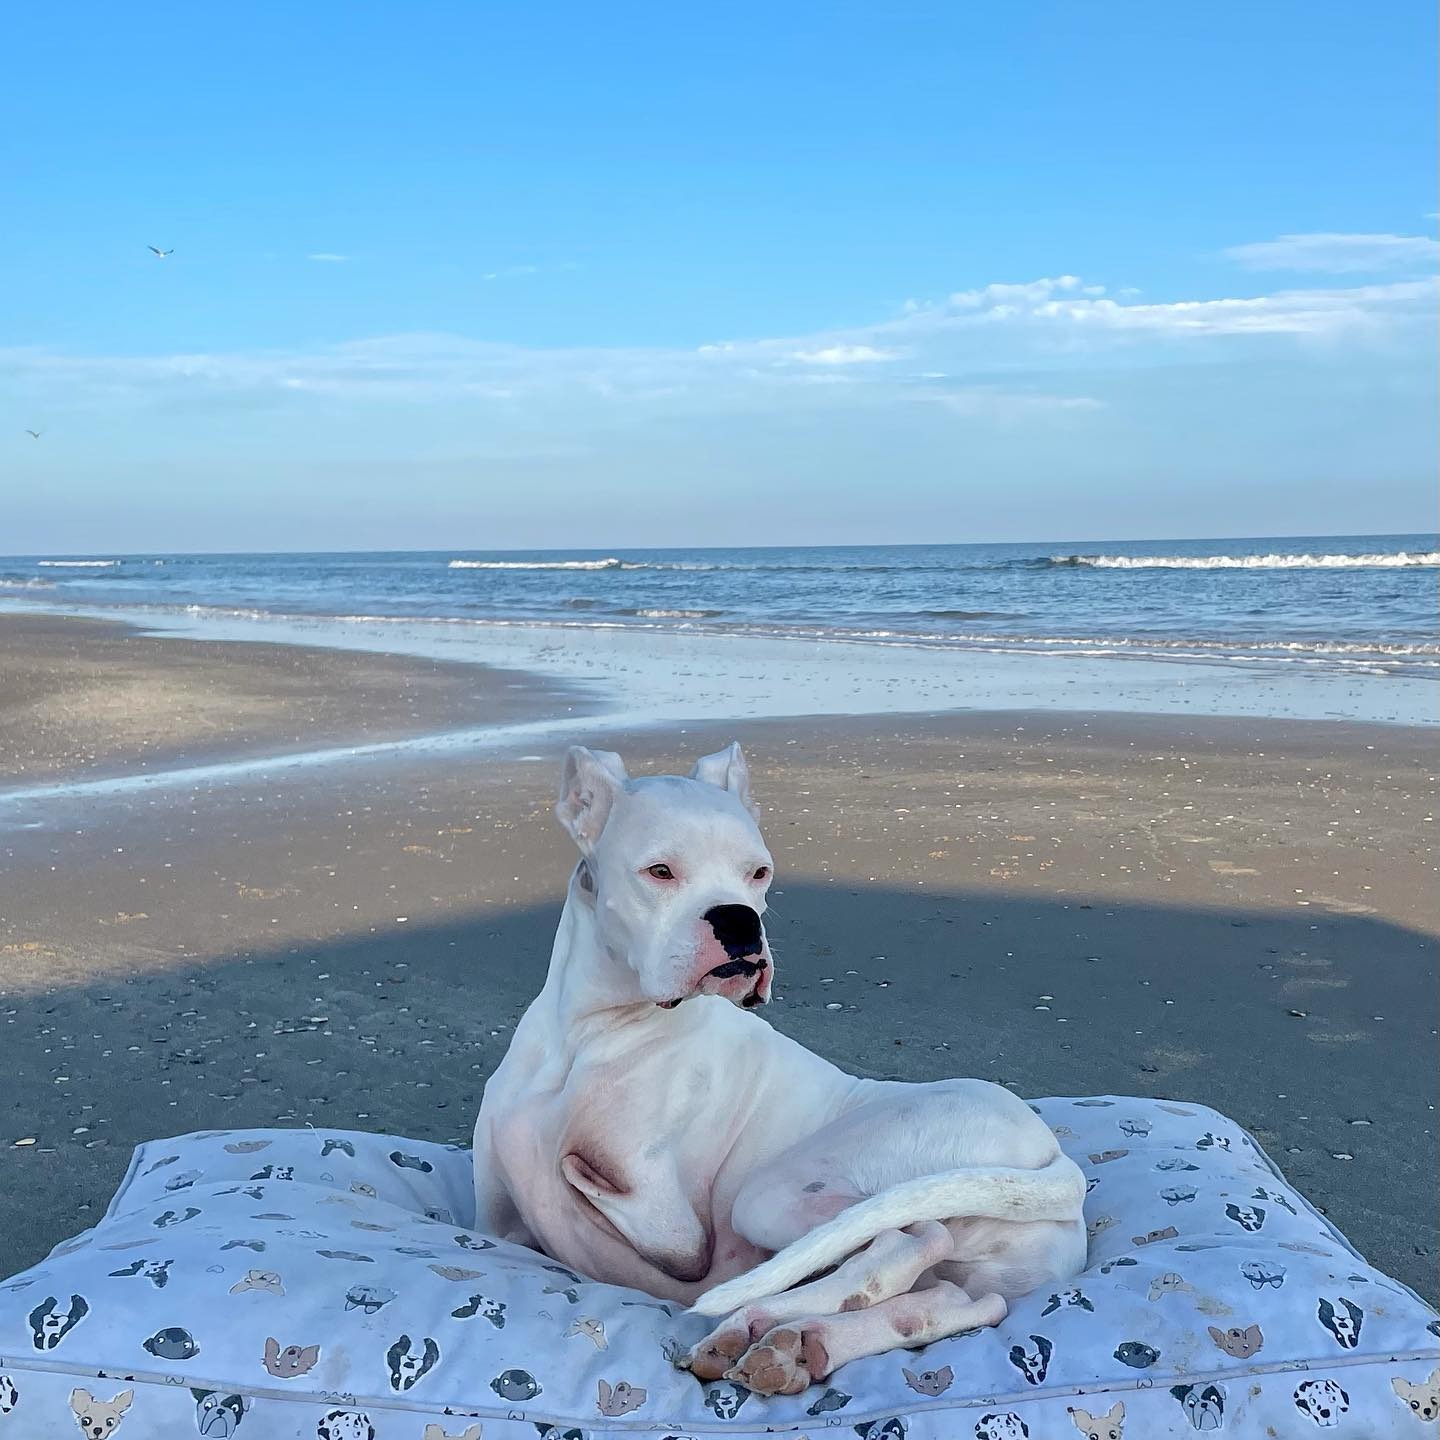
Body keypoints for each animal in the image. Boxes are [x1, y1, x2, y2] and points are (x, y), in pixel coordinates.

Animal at [472, 748, 1082, 1388]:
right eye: (659, 871)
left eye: (759, 874)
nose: (740, 919)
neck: (586, 1034)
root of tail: (1054, 1156)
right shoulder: (496, 1227)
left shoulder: (675, 1233)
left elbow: (590, 1182)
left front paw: (573, 1173)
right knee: (964, 1300)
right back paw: (801, 1343)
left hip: (776, 1193)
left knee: (907, 1239)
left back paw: (751, 1322)